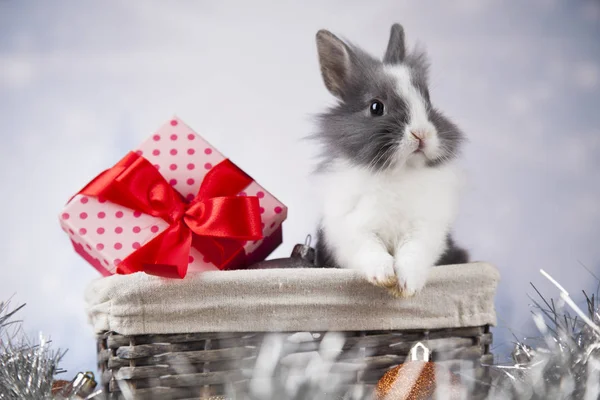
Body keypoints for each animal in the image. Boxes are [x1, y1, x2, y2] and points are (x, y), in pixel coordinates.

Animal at [312, 22, 472, 296]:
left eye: (428, 101)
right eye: (376, 107)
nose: (421, 133)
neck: (398, 172)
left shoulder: (424, 230)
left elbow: (413, 254)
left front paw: (408, 287)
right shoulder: (352, 230)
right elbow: (370, 251)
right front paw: (384, 277)